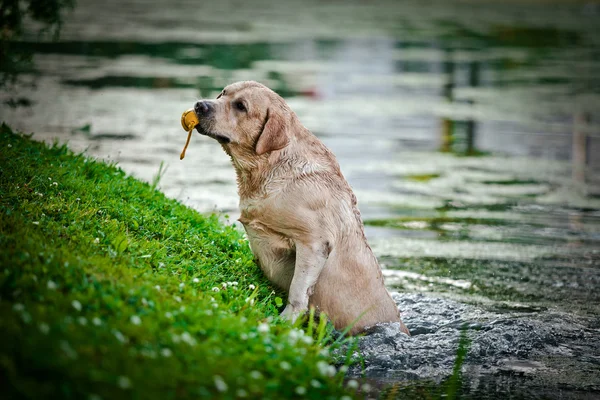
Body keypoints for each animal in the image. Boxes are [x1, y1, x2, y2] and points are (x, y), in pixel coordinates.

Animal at [192, 81, 408, 334]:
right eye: (223, 94)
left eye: (241, 106)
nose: (199, 105)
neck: (269, 165)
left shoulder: (314, 242)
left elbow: (298, 289)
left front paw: (286, 320)